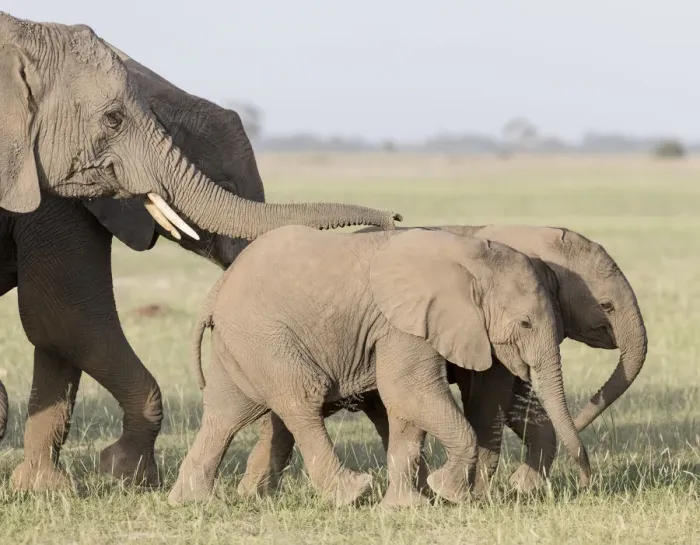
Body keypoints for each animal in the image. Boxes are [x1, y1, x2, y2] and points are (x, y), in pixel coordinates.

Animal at [0, 14, 400, 490]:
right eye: (113, 120)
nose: (393, 217)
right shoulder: (51, 192)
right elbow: (65, 316)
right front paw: (126, 471)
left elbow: (55, 331)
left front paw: (43, 486)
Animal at [168, 226, 591, 507]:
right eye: (525, 323)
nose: (587, 481)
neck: (467, 256)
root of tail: (218, 288)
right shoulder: (404, 322)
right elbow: (408, 391)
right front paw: (446, 491)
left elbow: (404, 409)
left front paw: (411, 506)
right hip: (264, 335)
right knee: (300, 400)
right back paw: (351, 492)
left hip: (241, 343)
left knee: (226, 412)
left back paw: (191, 501)